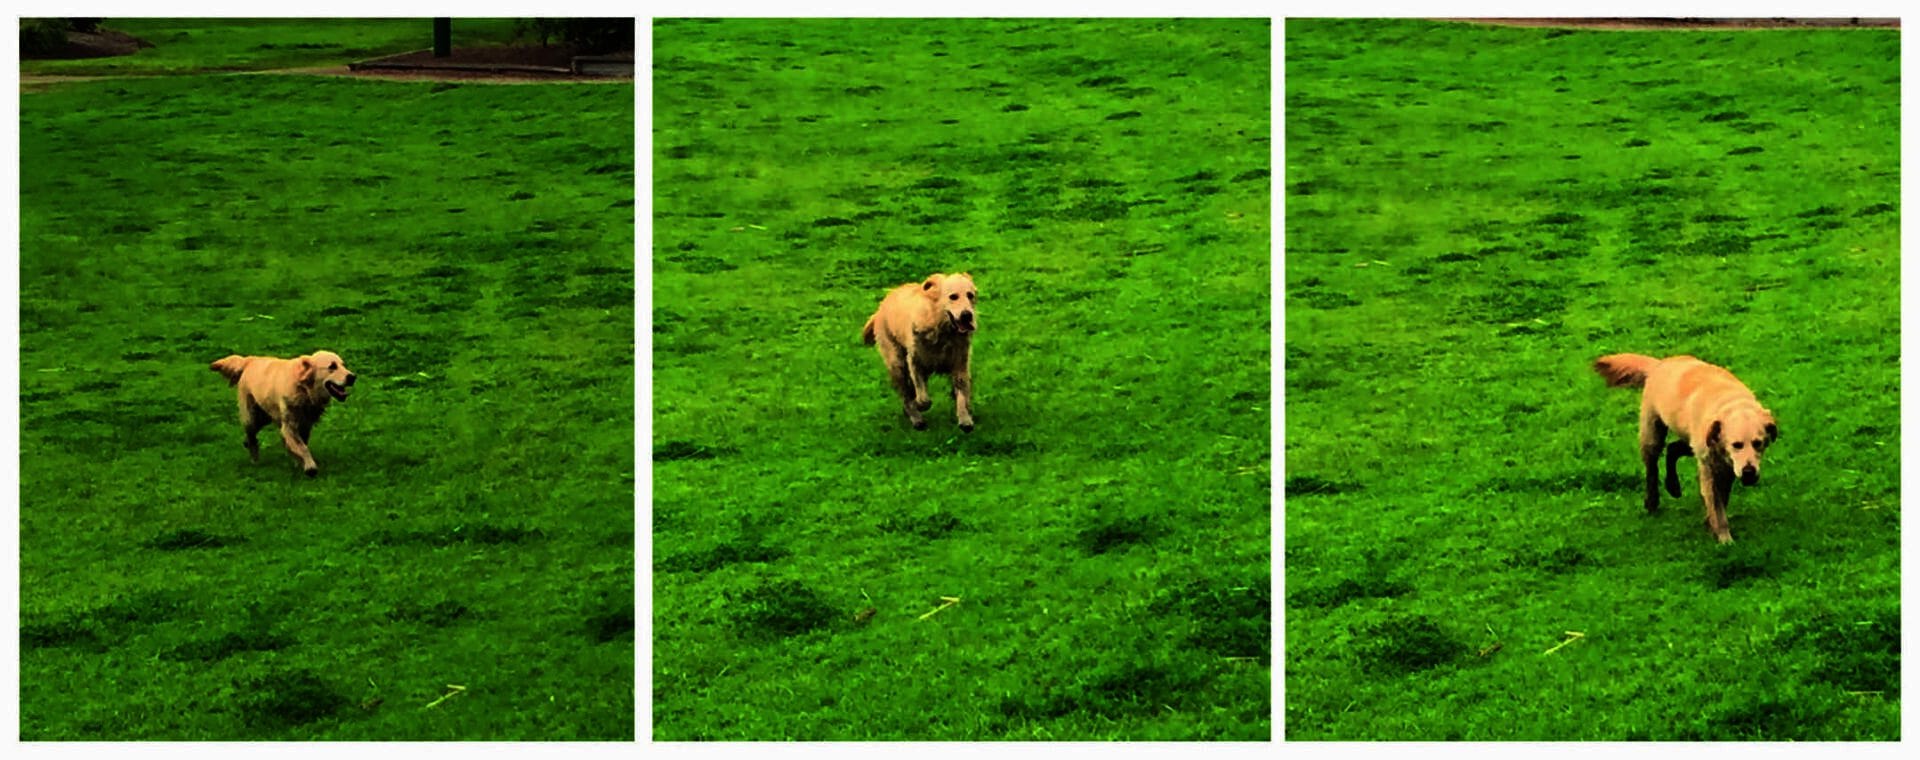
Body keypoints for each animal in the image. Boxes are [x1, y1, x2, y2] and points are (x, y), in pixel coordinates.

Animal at [210, 349, 357, 475]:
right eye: (332, 366)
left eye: (343, 365)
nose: (352, 377)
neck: (304, 389)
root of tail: (250, 360)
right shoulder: (289, 425)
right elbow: (302, 447)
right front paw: (310, 467)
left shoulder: (305, 424)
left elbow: (301, 444)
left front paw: (299, 462)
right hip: (251, 415)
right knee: (251, 435)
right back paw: (254, 458)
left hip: (265, 416)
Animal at [871, 272, 990, 429]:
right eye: (953, 296)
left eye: (970, 295)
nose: (967, 315)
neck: (942, 331)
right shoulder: (915, 361)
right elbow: (922, 397)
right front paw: (920, 405)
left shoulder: (960, 363)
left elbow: (962, 392)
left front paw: (965, 419)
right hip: (896, 362)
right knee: (905, 393)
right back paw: (916, 419)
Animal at [1597, 353, 1774, 545]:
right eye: (1736, 445)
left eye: (1758, 443)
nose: (1749, 473)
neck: (1730, 403)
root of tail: (1660, 364)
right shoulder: (1710, 467)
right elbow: (1717, 507)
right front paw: (1724, 539)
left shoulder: (1725, 466)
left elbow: (1721, 500)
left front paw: (1710, 524)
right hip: (1653, 433)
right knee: (1652, 468)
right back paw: (1652, 501)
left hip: (1690, 442)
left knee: (1672, 448)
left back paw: (1673, 486)